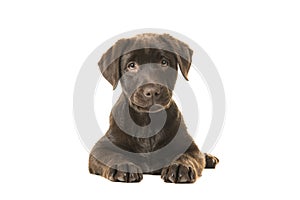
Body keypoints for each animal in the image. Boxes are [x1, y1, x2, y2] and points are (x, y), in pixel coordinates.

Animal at [88, 33, 218, 183]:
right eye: (131, 66)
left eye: (164, 62)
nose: (152, 91)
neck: (148, 123)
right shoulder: (101, 147)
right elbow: (112, 155)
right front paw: (124, 165)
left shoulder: (189, 147)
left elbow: (186, 156)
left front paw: (179, 167)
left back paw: (209, 158)